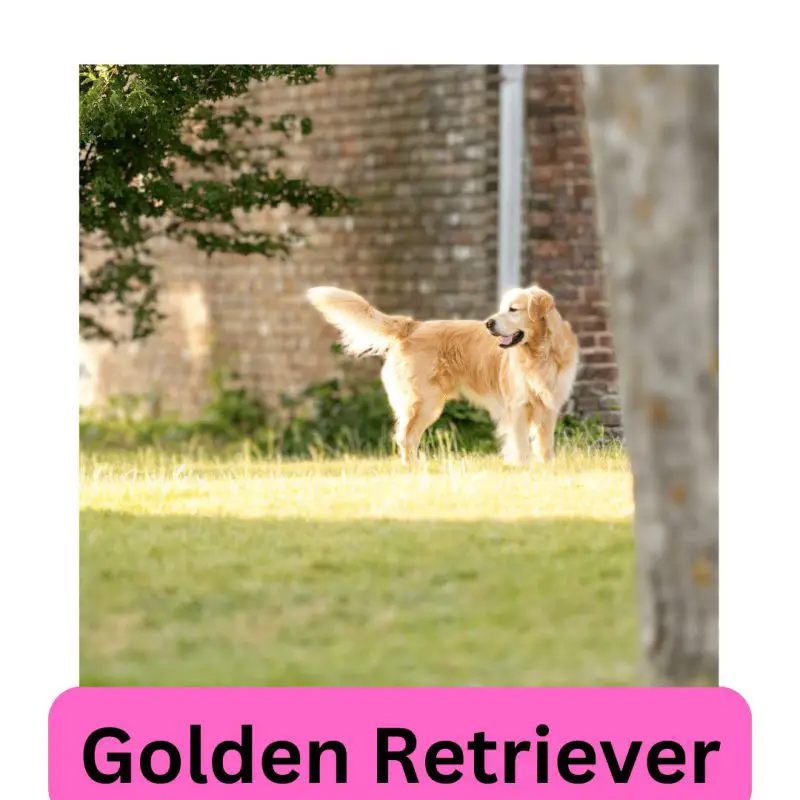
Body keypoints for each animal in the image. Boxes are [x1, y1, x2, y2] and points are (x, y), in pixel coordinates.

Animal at [304, 286, 576, 462]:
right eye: (502, 309)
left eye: (513, 309)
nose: (488, 323)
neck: (540, 353)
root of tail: (412, 326)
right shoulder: (518, 406)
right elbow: (521, 447)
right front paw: (523, 470)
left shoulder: (549, 407)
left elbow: (545, 447)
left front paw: (546, 471)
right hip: (424, 402)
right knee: (405, 438)